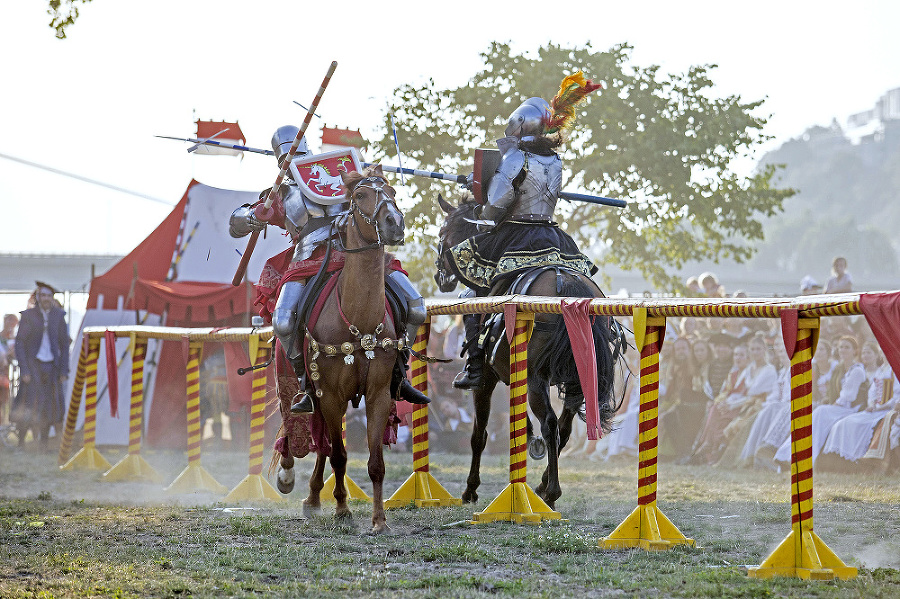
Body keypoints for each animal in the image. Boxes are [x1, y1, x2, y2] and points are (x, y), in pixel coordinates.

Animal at [276, 165, 406, 536]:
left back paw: (314, 496)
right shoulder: (330, 393)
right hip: (316, 392)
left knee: (323, 443)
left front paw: (379, 521)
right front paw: (343, 510)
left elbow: (375, 463)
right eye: (360, 195)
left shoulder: (378, 394)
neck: (359, 319)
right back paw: (303, 486)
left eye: (392, 191)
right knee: (321, 441)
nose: (394, 223)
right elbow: (339, 455)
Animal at [434, 193, 620, 510]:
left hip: (536, 378)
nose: (440, 276)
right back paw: (545, 487)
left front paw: (470, 490)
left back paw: (551, 492)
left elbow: (479, 435)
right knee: (563, 428)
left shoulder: (486, 382)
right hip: (577, 378)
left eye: (444, 232)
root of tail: (567, 285)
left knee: (550, 424)